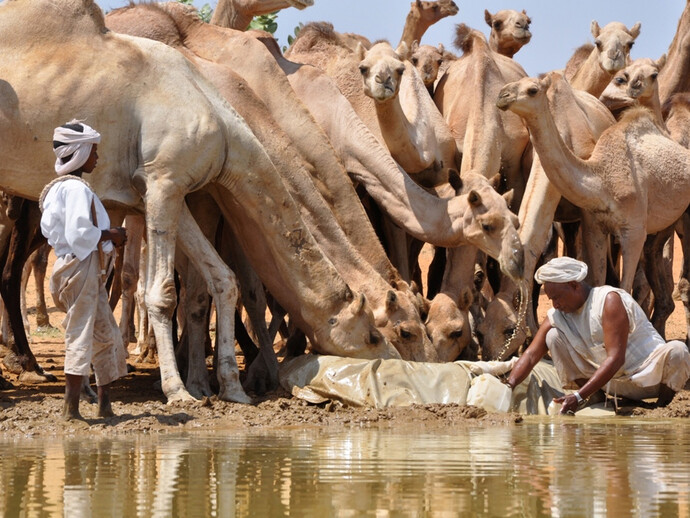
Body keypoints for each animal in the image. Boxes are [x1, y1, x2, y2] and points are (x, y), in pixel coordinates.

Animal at [0, 0, 402, 403]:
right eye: (376, 334)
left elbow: (224, 279)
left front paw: (233, 387)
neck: (221, 122)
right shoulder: (162, 180)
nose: (394, 363)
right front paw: (178, 390)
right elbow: (164, 293)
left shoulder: (172, 190)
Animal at [497, 73, 690, 297]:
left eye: (532, 90)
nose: (502, 95)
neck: (601, 180)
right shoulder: (596, 226)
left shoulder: (634, 230)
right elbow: (597, 279)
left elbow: (624, 286)